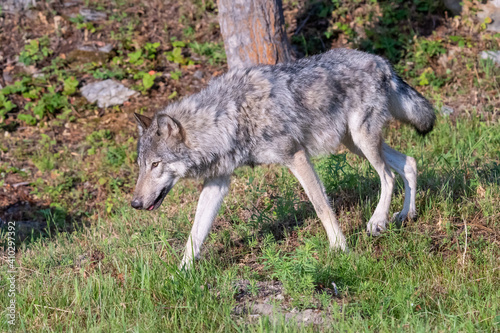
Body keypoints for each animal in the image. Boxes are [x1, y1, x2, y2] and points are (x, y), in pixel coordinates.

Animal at [130, 48, 434, 268]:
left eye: (156, 165)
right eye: (142, 166)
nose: (134, 204)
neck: (230, 117)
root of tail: (381, 61)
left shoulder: (295, 156)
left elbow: (322, 207)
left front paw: (340, 249)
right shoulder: (218, 181)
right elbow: (195, 233)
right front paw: (180, 276)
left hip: (362, 141)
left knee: (388, 175)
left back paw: (378, 221)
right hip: (354, 143)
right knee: (409, 162)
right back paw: (407, 214)